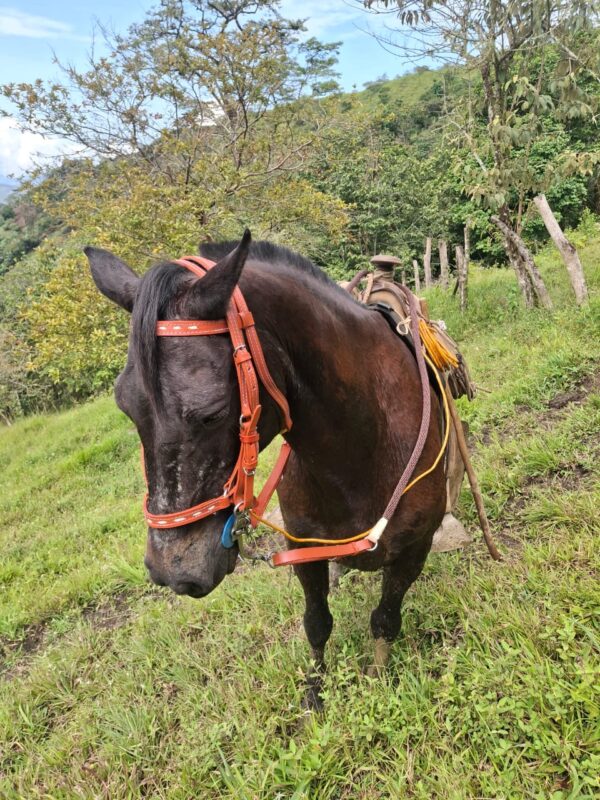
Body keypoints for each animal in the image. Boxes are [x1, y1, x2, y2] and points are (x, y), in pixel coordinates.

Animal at [85, 231, 446, 708]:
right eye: (125, 406)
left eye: (212, 414)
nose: (172, 572)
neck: (363, 445)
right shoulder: (303, 550)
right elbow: (317, 622)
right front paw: (314, 691)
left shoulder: (413, 550)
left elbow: (385, 620)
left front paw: (378, 678)